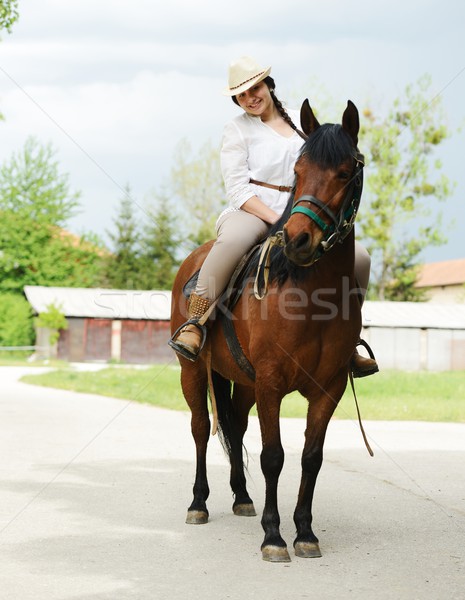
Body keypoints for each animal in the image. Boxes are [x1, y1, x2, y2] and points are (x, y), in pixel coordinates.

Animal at [169, 98, 364, 564]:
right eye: (298, 170)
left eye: (344, 172)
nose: (298, 239)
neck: (312, 295)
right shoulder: (272, 383)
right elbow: (273, 456)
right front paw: (274, 536)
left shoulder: (328, 387)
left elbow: (312, 457)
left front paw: (305, 532)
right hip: (193, 372)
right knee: (202, 428)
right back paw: (198, 503)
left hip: (241, 381)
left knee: (235, 426)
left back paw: (242, 497)